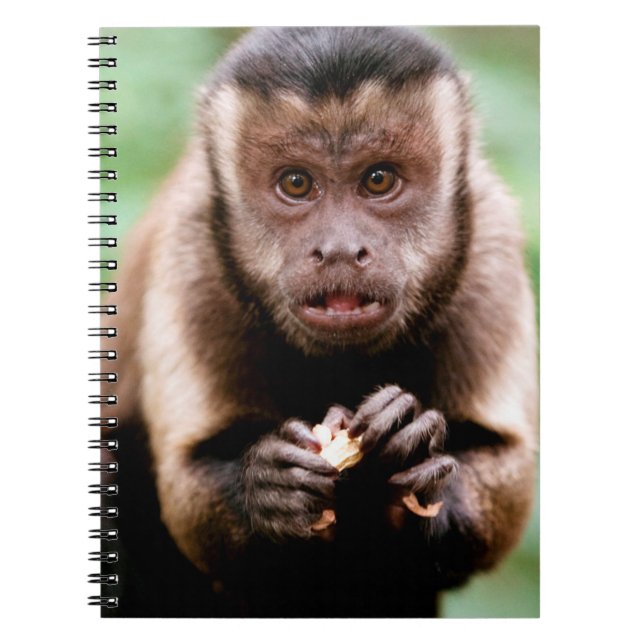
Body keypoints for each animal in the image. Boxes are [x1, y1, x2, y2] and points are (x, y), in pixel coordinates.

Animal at [100, 27, 537, 617]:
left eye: (378, 180)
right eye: (296, 183)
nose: (338, 249)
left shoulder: (488, 237)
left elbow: (507, 469)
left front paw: (418, 452)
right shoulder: (193, 247)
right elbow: (186, 489)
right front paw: (266, 489)